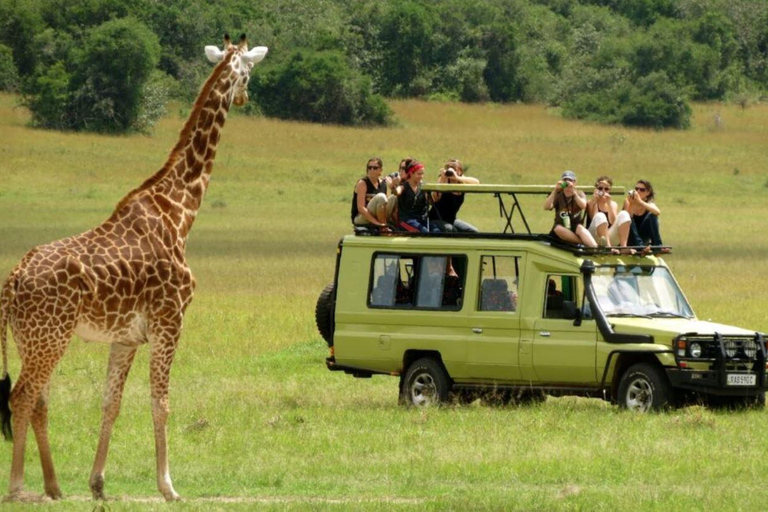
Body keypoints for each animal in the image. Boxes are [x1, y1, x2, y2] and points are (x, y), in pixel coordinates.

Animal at [0, 34, 270, 502]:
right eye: (249, 72)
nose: (245, 96)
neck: (180, 211)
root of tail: (13, 279)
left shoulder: (126, 337)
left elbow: (111, 403)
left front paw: (97, 484)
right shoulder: (169, 321)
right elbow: (161, 403)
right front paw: (168, 487)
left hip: (31, 338)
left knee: (38, 401)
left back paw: (54, 486)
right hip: (50, 337)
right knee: (21, 396)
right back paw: (19, 488)